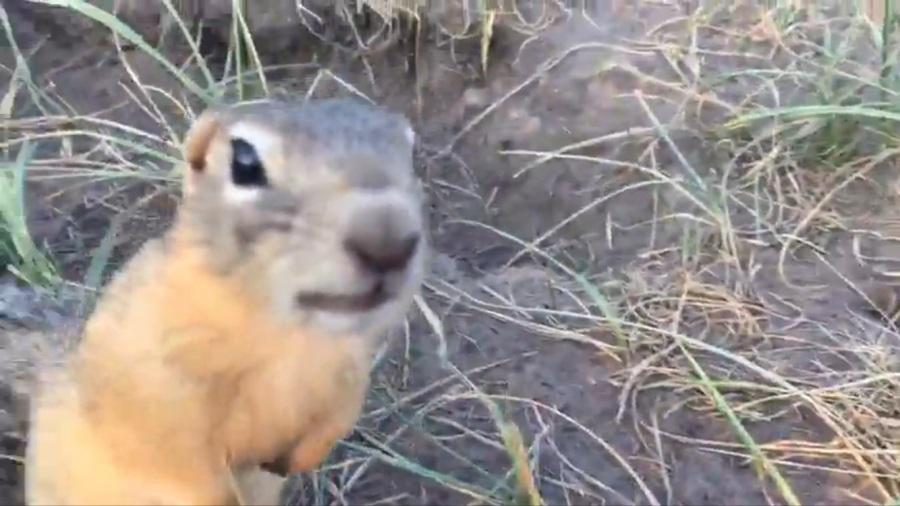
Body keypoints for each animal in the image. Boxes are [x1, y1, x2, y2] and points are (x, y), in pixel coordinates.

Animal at [22, 97, 428, 504]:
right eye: (244, 162)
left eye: (412, 154)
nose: (388, 241)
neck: (286, 333)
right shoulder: (156, 371)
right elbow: (176, 449)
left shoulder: (350, 366)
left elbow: (340, 413)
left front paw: (300, 458)